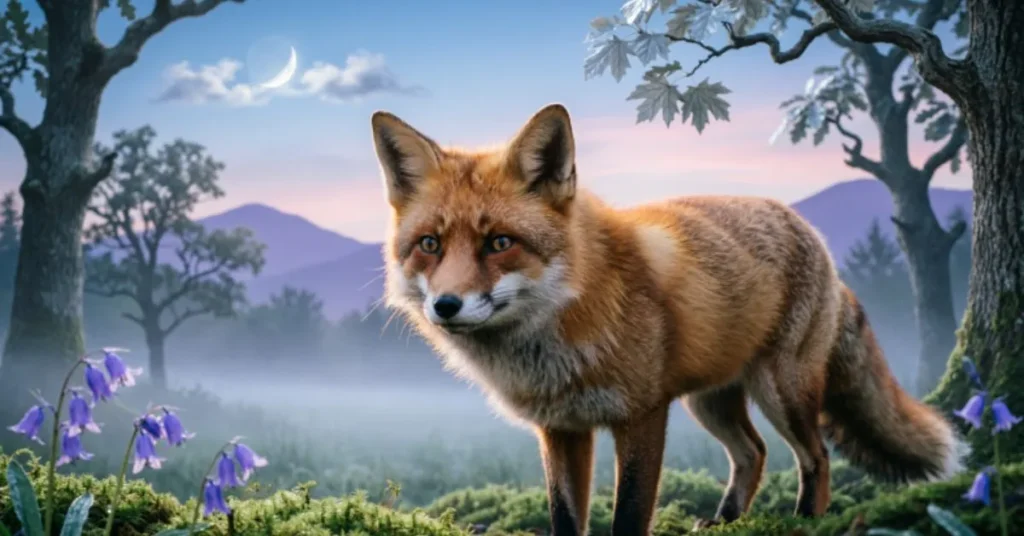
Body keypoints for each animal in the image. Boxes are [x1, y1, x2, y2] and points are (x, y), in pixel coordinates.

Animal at [370, 103, 963, 535]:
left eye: (499, 243)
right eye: (429, 245)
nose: (446, 306)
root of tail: (812, 235)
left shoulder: (642, 414)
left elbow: (631, 514)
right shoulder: (561, 428)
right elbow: (565, 517)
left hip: (782, 391)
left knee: (815, 457)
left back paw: (803, 523)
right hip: (711, 402)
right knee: (753, 454)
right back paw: (724, 522)